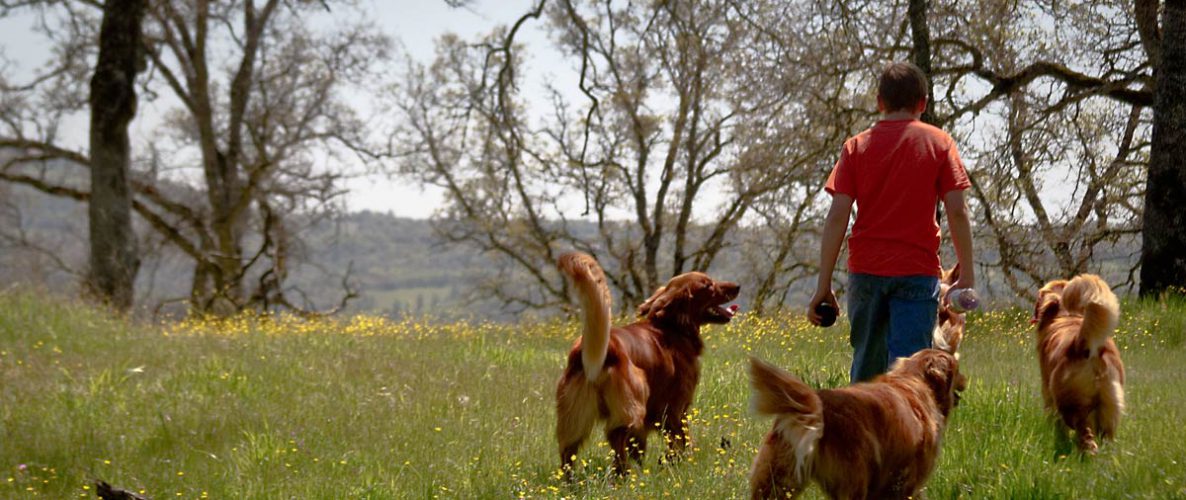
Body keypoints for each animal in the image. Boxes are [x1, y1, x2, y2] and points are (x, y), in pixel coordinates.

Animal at [550, 252, 735, 473]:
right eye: (708, 285)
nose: (737, 286)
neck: (669, 327)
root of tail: (606, 348)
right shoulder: (677, 408)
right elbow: (681, 443)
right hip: (632, 410)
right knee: (618, 444)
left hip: (573, 419)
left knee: (568, 455)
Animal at [749, 348, 963, 500]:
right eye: (958, 368)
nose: (965, 380)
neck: (911, 378)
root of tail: (819, 406)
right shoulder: (909, 480)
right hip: (854, 482)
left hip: (776, 481)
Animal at [1034, 273, 1124, 452]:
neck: (1066, 316)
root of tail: (1089, 348)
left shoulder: (1047, 393)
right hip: (1109, 412)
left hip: (1072, 408)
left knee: (1086, 439)